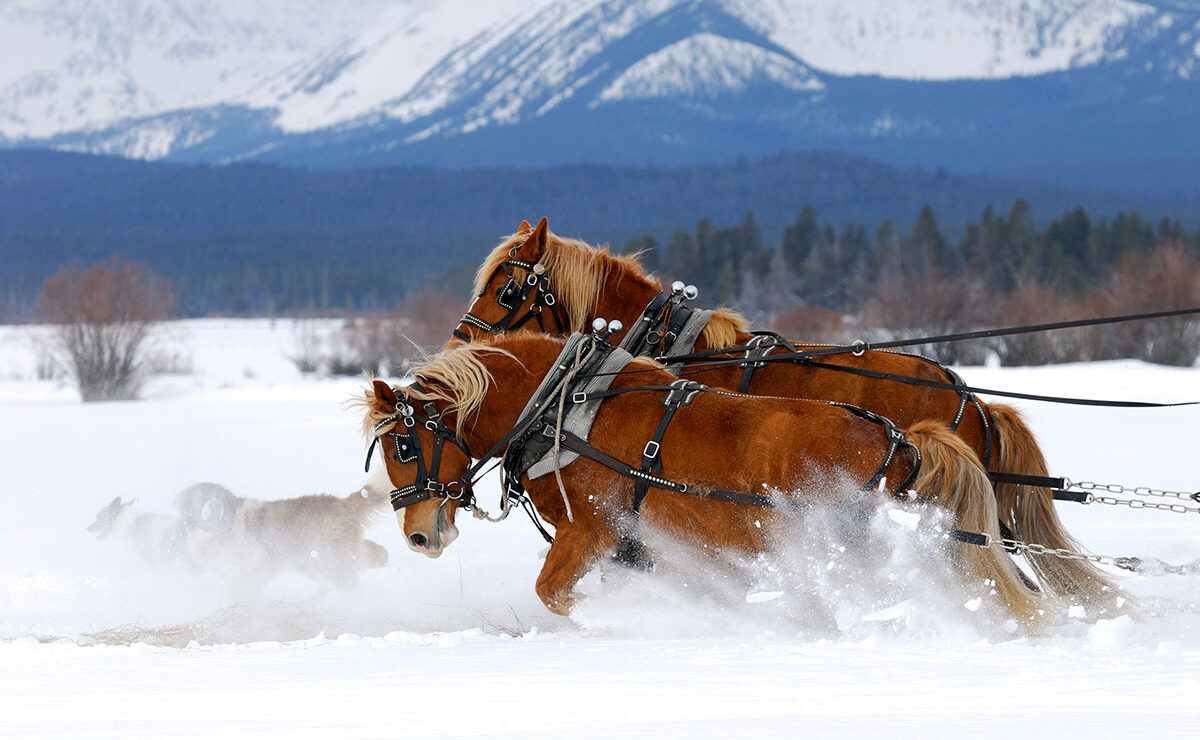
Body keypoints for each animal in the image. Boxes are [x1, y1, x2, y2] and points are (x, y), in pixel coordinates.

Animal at [171, 479, 388, 594]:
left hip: (328, 562)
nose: (215, 506)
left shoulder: (249, 571)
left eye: (218, 497)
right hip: (315, 562)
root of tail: (342, 502)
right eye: (199, 500)